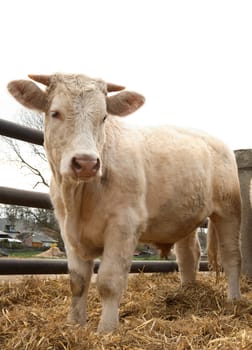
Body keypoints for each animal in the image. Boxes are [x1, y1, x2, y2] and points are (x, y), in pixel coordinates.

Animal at [6, 72, 241, 332]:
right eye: (55, 112)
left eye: (104, 117)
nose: (86, 163)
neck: (79, 198)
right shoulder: (67, 230)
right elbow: (77, 282)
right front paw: (75, 325)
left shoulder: (124, 225)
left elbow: (109, 282)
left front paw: (106, 330)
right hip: (185, 217)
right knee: (189, 256)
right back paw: (186, 293)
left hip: (228, 210)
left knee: (231, 257)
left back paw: (234, 300)